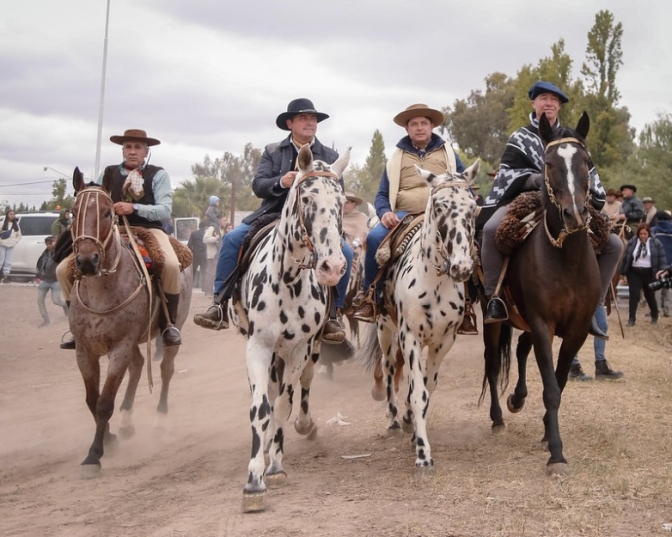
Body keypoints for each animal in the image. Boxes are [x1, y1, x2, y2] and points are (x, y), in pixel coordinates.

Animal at [67, 169, 192, 478]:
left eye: (108, 212)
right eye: (74, 212)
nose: (86, 261)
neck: (101, 290)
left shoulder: (120, 348)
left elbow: (104, 402)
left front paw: (94, 454)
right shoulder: (84, 351)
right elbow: (92, 399)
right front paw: (110, 438)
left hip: (171, 332)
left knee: (165, 370)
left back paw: (160, 421)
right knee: (137, 367)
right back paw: (125, 422)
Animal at [228, 142, 350, 510]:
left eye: (342, 201)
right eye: (306, 197)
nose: (332, 266)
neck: (289, 278)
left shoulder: (299, 349)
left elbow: (283, 404)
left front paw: (275, 467)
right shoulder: (259, 347)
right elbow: (261, 407)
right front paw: (254, 480)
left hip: (311, 350)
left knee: (302, 387)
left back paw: (302, 426)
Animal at [360, 159, 480, 468]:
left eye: (473, 206)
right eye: (437, 206)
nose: (461, 267)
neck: (434, 280)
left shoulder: (443, 342)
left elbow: (427, 388)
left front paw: (416, 431)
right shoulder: (410, 337)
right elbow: (417, 393)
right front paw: (423, 454)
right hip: (386, 331)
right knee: (390, 369)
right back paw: (393, 417)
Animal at [480, 112, 600, 474]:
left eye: (586, 161)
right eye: (548, 164)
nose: (575, 215)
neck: (566, 261)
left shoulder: (576, 331)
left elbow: (558, 382)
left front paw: (548, 433)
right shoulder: (543, 324)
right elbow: (550, 389)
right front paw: (557, 454)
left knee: (520, 348)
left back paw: (517, 398)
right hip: (495, 321)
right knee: (493, 363)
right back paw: (498, 417)